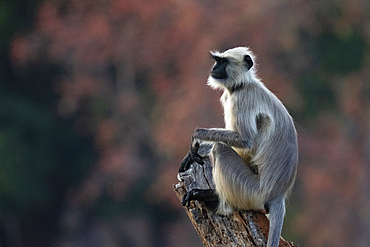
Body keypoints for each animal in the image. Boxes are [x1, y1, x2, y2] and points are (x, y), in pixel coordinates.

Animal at [179, 46, 298, 247]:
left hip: (251, 192)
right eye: (216, 61)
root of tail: (278, 195)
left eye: (222, 62)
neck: (242, 85)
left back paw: (216, 201)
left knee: (220, 148)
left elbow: (245, 141)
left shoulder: (242, 99)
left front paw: (196, 137)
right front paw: (191, 155)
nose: (214, 68)